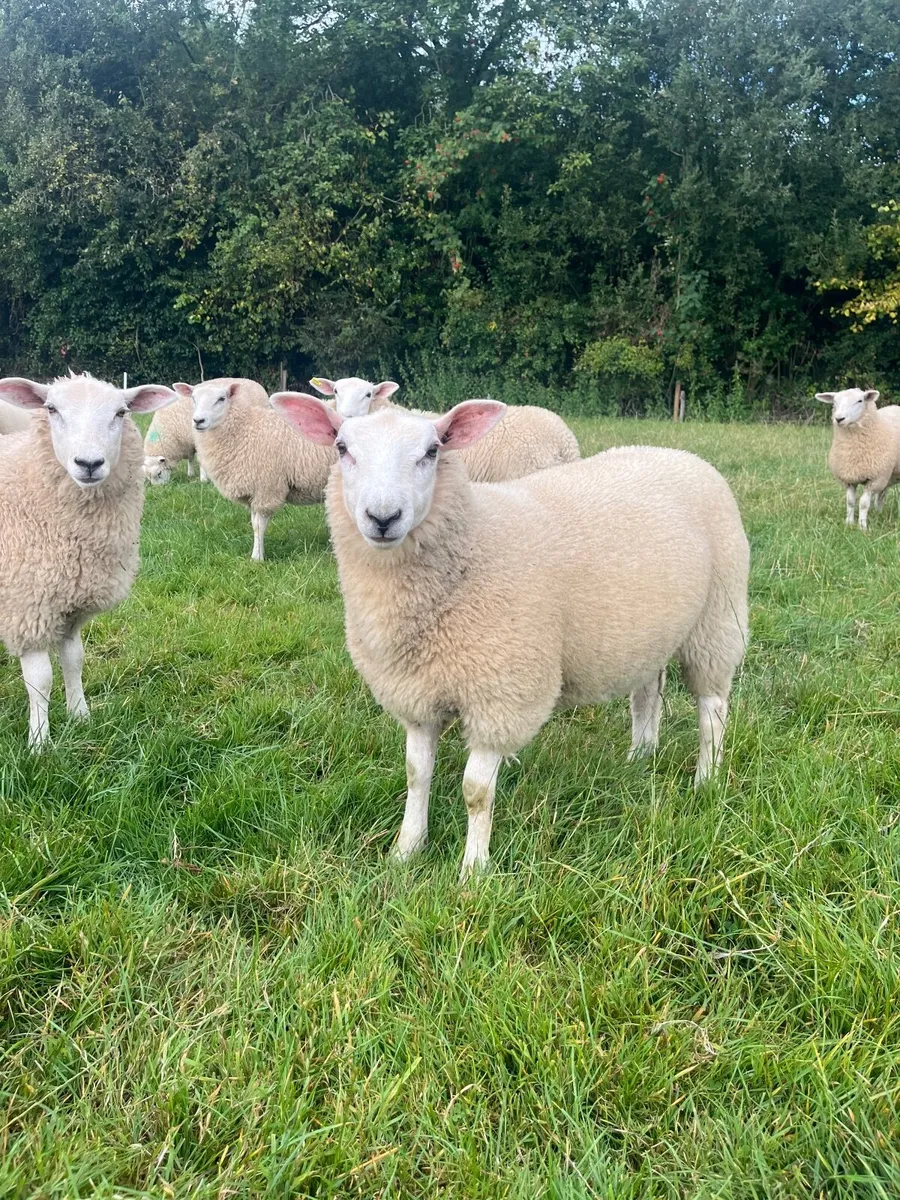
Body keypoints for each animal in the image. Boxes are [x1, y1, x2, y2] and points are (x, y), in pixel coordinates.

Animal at [0, 373, 177, 748]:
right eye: (51, 409)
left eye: (121, 412)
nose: (89, 464)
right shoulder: (27, 606)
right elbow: (40, 680)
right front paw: (39, 742)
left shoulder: (71, 605)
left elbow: (74, 661)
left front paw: (80, 716)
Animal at [175, 378, 336, 561]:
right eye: (193, 398)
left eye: (221, 399)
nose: (198, 421)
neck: (244, 430)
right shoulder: (253, 492)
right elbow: (253, 523)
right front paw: (257, 554)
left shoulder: (266, 489)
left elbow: (259, 526)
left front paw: (257, 558)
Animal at [272, 394, 750, 879]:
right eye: (342, 448)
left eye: (432, 451)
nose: (383, 518)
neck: (471, 548)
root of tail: (682, 455)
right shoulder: (416, 694)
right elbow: (415, 773)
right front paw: (406, 851)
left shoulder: (499, 695)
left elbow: (476, 791)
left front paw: (473, 870)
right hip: (652, 629)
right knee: (647, 691)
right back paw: (641, 756)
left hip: (718, 618)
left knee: (712, 710)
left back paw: (706, 780)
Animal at [816, 388, 900, 530]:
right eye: (834, 401)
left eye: (860, 400)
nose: (839, 419)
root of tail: (896, 406)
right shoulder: (849, 478)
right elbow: (850, 501)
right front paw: (849, 523)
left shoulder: (874, 479)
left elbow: (863, 504)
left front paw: (862, 527)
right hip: (887, 476)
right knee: (881, 496)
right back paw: (878, 513)